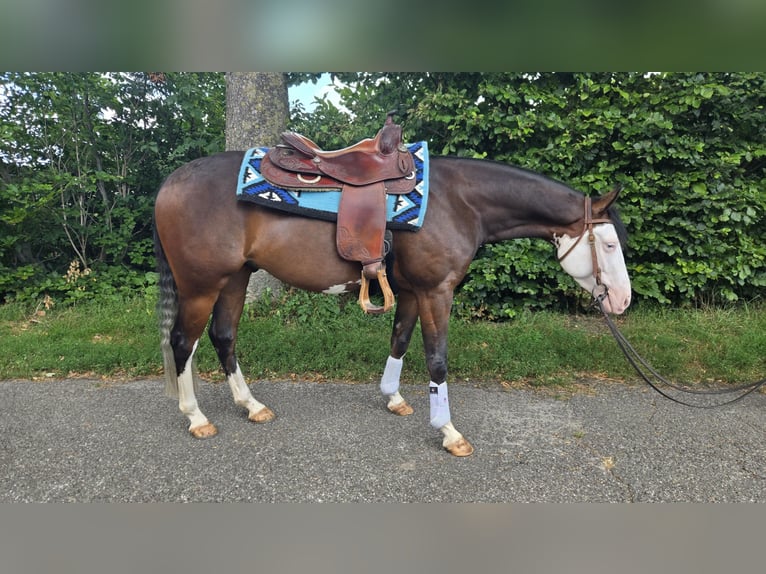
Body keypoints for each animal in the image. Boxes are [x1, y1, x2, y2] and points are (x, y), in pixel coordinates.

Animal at [153, 152, 631, 456]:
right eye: (609, 244)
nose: (622, 300)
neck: (458, 201)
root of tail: (170, 181)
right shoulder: (437, 290)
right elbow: (437, 359)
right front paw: (448, 432)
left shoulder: (413, 291)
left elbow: (400, 338)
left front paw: (394, 397)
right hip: (201, 285)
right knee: (182, 343)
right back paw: (196, 417)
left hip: (235, 279)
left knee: (223, 336)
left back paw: (251, 405)